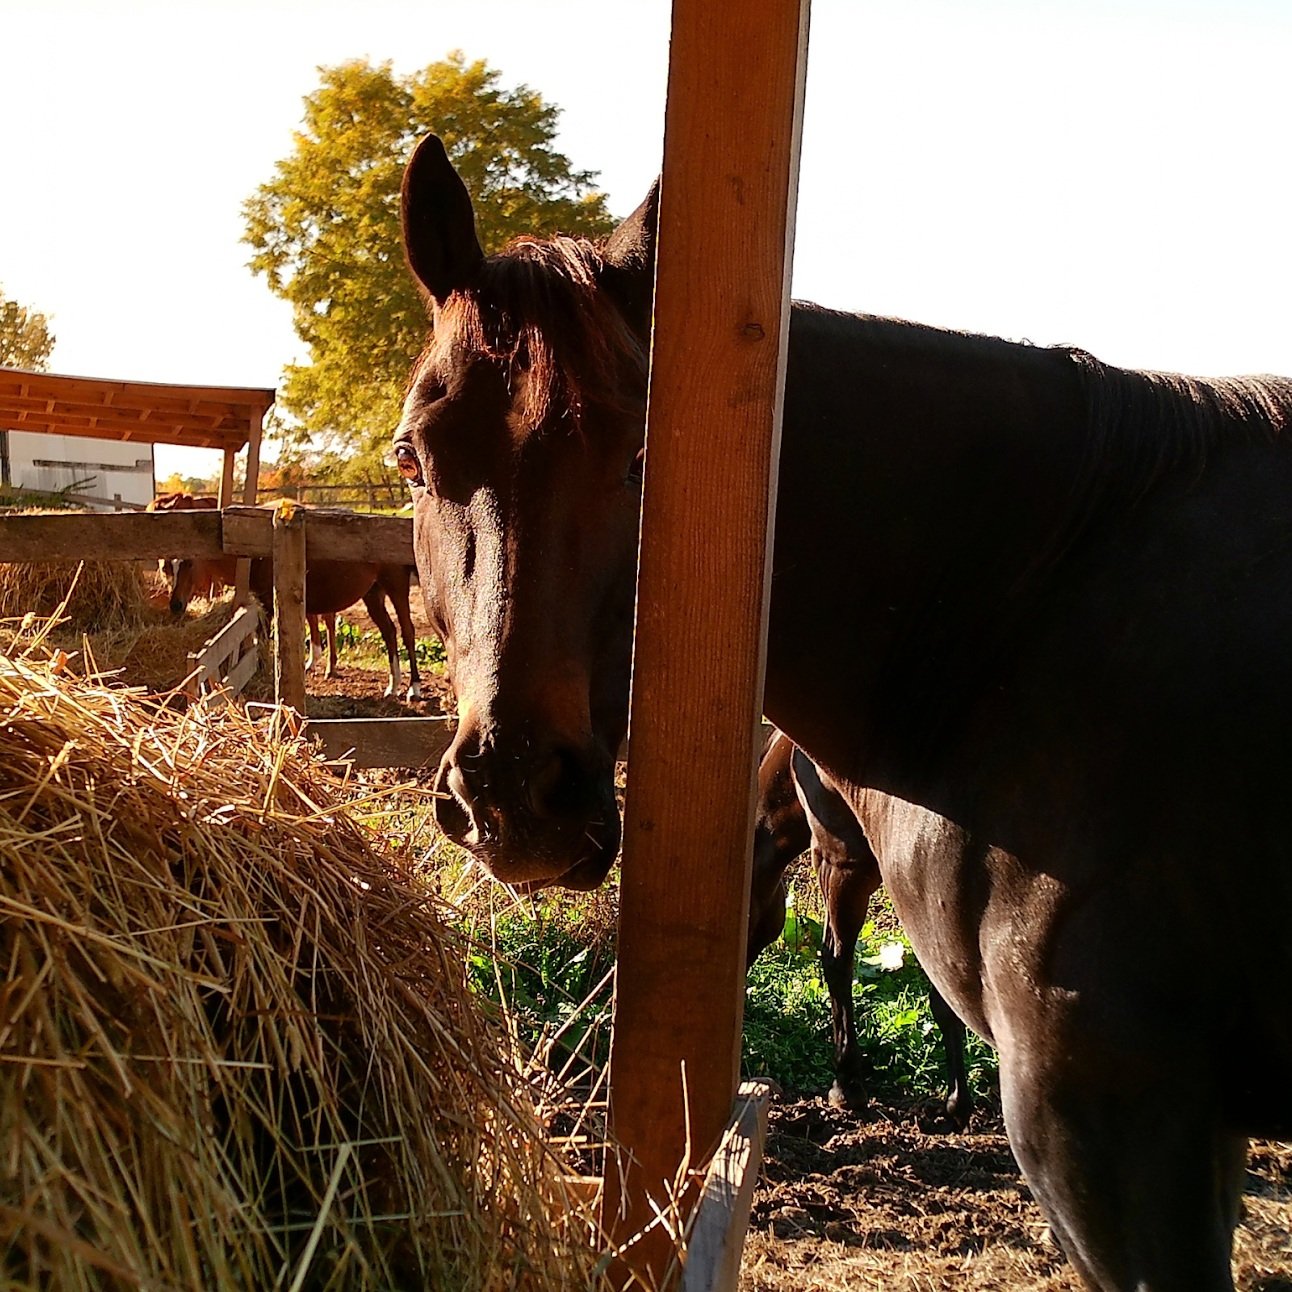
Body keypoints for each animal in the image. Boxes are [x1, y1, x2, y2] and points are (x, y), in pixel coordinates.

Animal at [153, 496, 422, 699]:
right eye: (166, 565)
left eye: (188, 562)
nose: (175, 605)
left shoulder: (270, 605)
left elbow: (265, 639)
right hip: (373, 594)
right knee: (389, 632)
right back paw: (393, 687)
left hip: (397, 589)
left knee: (407, 632)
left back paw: (414, 688)